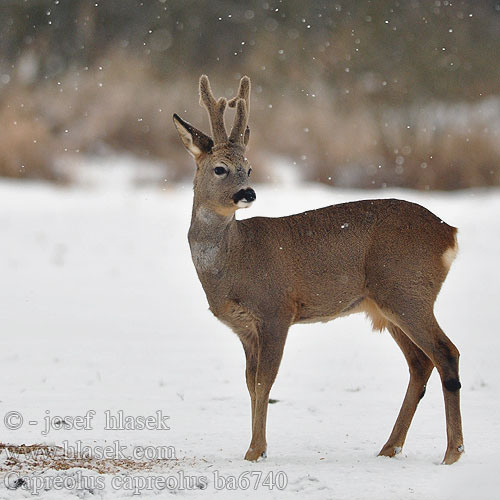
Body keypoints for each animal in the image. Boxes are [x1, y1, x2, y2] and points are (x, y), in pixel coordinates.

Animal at [173, 74, 464, 464]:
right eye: (220, 168)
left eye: (248, 168)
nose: (248, 193)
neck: (234, 262)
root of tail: (450, 234)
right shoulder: (244, 328)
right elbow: (250, 383)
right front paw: (252, 448)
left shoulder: (276, 310)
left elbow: (265, 381)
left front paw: (256, 451)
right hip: (388, 304)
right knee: (420, 362)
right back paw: (390, 448)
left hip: (408, 290)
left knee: (446, 353)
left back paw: (452, 452)